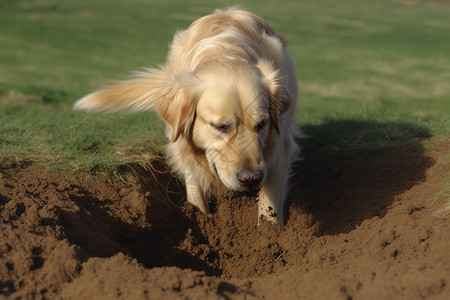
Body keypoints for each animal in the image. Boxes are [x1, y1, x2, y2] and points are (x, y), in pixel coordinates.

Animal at [74, 7, 300, 225]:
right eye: (220, 126)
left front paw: (271, 232)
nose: (251, 178)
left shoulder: (278, 146)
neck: (226, 53)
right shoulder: (182, 144)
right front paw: (201, 219)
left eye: (262, 124)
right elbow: (196, 191)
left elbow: (269, 203)